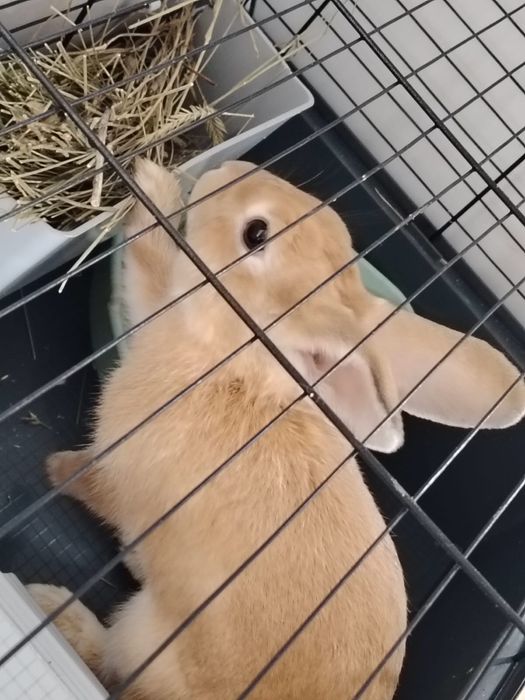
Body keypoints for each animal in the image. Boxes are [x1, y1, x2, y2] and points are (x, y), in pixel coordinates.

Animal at [28, 159, 525, 700]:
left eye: (256, 233)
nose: (228, 166)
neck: (244, 369)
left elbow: (149, 261)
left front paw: (151, 181)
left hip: (145, 639)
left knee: (113, 663)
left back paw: (53, 605)